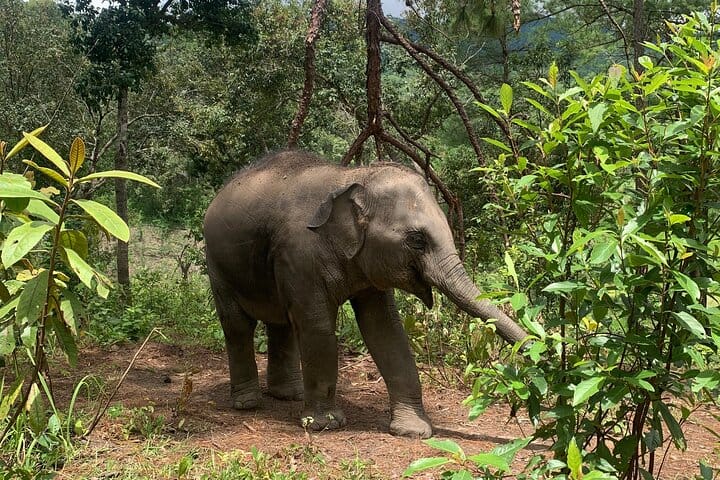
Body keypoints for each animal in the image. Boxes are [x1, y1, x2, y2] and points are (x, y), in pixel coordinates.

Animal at [203, 150, 528, 438]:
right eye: (417, 240)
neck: (353, 177)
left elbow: (384, 329)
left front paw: (413, 431)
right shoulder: (299, 255)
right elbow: (317, 327)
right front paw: (325, 425)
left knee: (280, 323)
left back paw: (289, 396)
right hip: (217, 265)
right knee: (238, 325)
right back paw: (248, 403)